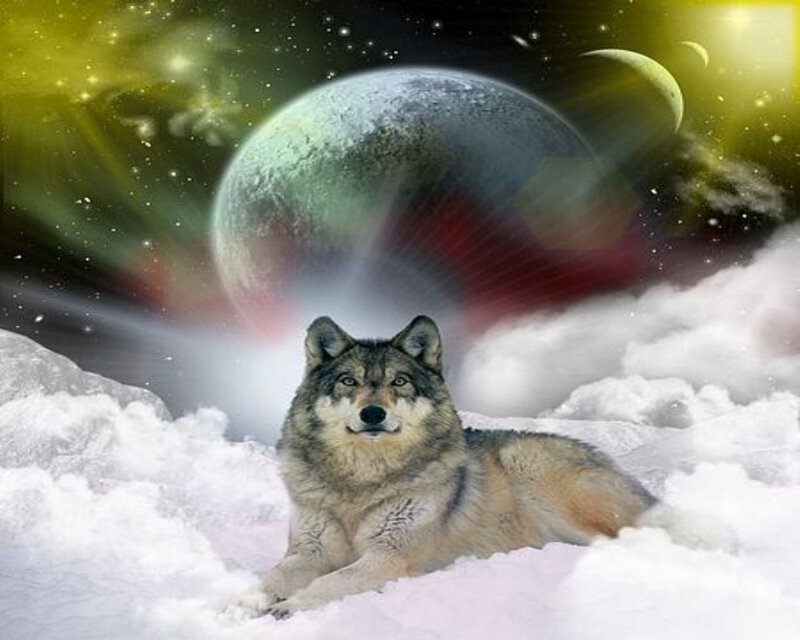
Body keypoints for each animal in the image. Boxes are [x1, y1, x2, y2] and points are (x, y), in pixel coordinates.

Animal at [229, 315, 657, 619]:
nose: (373, 413)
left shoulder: (389, 556)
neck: (361, 480)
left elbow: (330, 582)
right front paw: (236, 604)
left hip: (530, 464)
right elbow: (270, 577)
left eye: (399, 382)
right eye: (349, 381)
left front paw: (288, 607)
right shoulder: (309, 552)